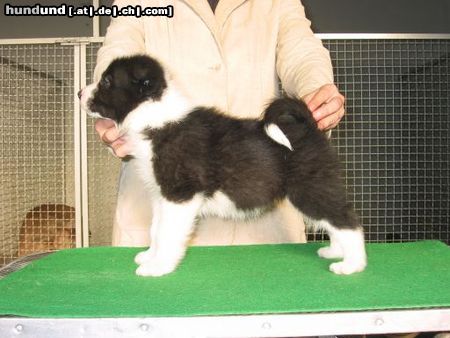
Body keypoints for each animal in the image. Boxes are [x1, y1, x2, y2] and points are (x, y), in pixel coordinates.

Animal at [79, 55, 366, 276]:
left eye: (106, 81)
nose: (79, 93)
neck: (155, 118)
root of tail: (308, 125)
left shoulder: (180, 195)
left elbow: (167, 233)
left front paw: (158, 267)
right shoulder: (162, 195)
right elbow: (155, 229)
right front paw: (150, 256)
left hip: (309, 188)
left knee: (346, 220)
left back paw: (352, 265)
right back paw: (335, 251)